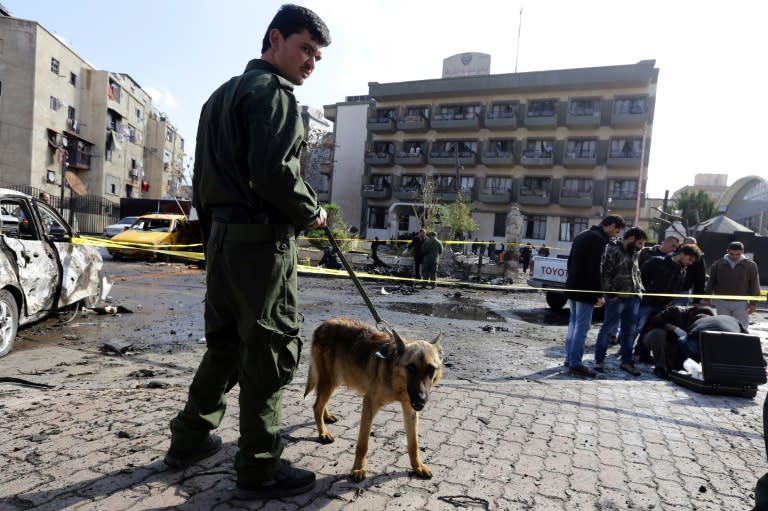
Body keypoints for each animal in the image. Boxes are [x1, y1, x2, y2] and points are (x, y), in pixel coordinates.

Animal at [302, 318, 440, 482]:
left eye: (431, 369)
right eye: (411, 367)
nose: (421, 399)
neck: (396, 382)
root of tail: (324, 324)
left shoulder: (410, 410)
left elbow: (413, 444)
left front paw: (418, 467)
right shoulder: (369, 405)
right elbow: (363, 444)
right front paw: (358, 468)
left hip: (334, 380)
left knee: (321, 404)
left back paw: (326, 416)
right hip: (329, 380)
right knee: (317, 406)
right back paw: (323, 433)